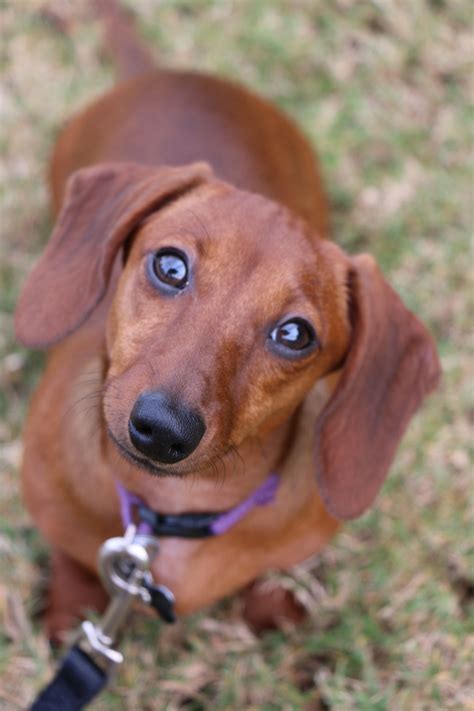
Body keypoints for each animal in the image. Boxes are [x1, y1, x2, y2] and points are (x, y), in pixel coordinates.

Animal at [14, 2, 440, 640]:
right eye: (170, 266)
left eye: (295, 334)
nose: (162, 430)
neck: (171, 512)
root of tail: (169, 74)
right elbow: (70, 557)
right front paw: (69, 612)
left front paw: (270, 608)